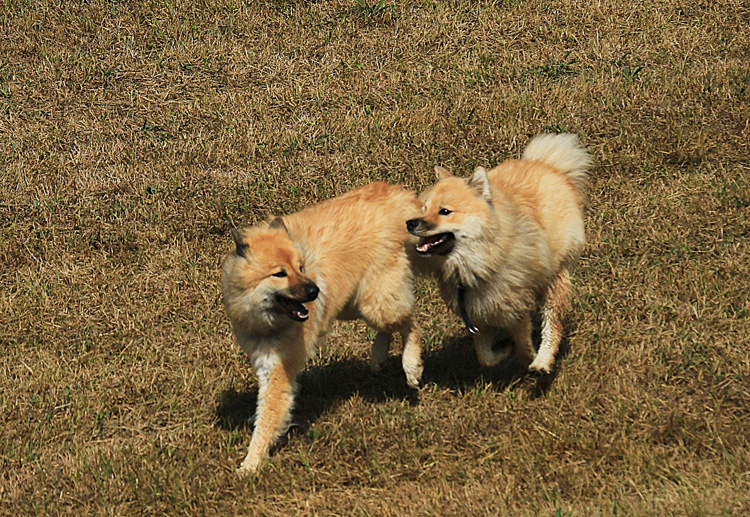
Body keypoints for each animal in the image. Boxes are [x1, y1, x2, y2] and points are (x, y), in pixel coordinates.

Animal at [408, 135, 592, 372]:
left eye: (445, 211)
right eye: (423, 209)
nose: (410, 223)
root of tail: (547, 166)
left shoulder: (515, 309)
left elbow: (523, 346)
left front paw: (530, 358)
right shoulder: (476, 315)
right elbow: (485, 357)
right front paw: (503, 352)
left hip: (555, 279)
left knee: (553, 324)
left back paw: (543, 361)